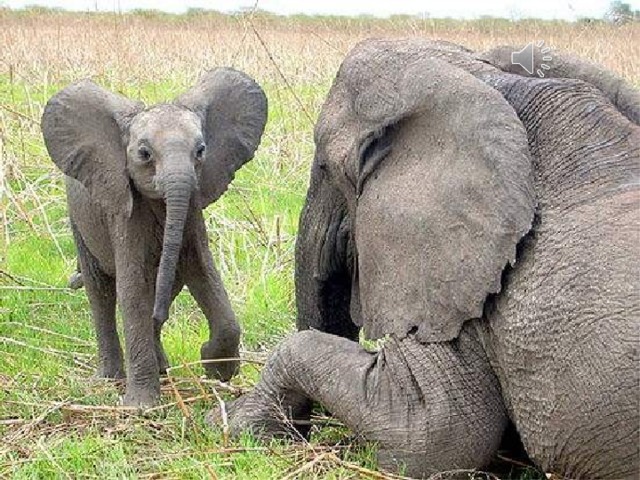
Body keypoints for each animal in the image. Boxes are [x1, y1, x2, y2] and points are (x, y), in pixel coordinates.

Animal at [42, 68, 268, 407]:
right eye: (144, 154)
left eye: (201, 151)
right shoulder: (123, 213)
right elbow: (133, 288)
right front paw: (142, 407)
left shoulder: (192, 210)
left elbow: (203, 272)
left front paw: (217, 370)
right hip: (79, 219)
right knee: (101, 291)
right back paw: (111, 378)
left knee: (165, 286)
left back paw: (162, 367)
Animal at [214, 39, 640, 479]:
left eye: (324, 166)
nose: (308, 425)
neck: (493, 80)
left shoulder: (463, 281)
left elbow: (432, 438)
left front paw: (232, 421)